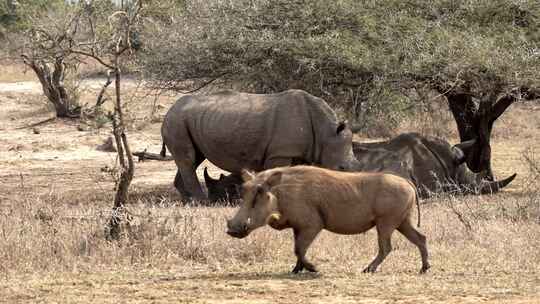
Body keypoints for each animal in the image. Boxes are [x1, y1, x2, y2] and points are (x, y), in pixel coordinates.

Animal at [162, 89, 360, 201]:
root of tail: (169, 110)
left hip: (189, 121)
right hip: (176, 121)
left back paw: (188, 201)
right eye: (341, 168)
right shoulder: (280, 153)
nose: (351, 193)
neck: (325, 131)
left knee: (193, 159)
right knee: (188, 159)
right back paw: (202, 202)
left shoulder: (302, 152)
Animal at [228, 165, 430, 274]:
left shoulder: (312, 225)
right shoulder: (297, 227)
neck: (280, 193)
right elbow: (297, 249)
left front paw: (313, 269)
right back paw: (424, 269)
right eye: (244, 190)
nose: (232, 230)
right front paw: (296, 270)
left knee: (386, 247)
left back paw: (368, 270)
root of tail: (407, 182)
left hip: (386, 223)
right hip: (402, 221)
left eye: (260, 193)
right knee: (421, 238)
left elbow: (299, 249)